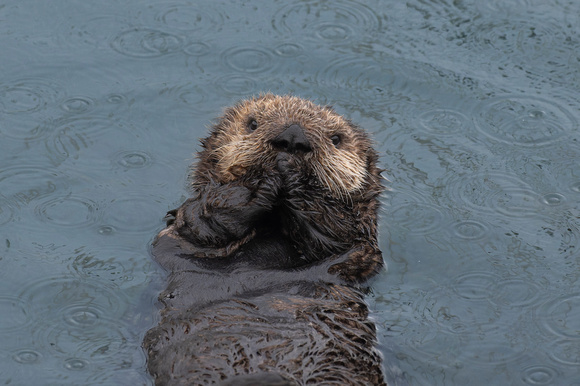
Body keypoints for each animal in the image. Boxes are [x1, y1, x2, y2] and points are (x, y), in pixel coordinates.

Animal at [142, 94, 386, 386]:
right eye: (252, 123)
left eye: (336, 139)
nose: (292, 138)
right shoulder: (185, 233)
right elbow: (202, 221)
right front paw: (256, 184)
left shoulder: (356, 245)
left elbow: (338, 232)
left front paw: (293, 176)